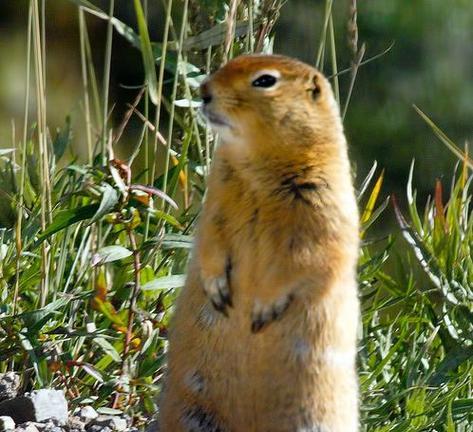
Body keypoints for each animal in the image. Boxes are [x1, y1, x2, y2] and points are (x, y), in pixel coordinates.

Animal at [160, 54, 360, 432]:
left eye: (265, 80)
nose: (203, 90)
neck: (257, 169)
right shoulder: (217, 200)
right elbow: (210, 239)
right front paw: (218, 290)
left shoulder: (322, 207)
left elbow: (307, 257)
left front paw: (263, 309)